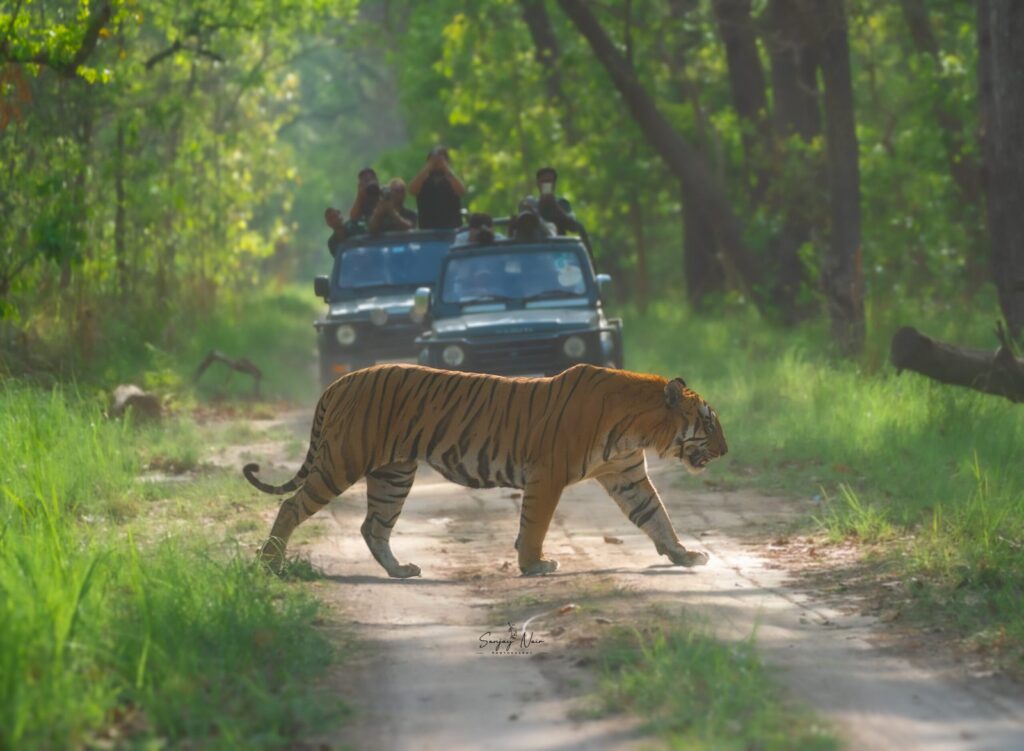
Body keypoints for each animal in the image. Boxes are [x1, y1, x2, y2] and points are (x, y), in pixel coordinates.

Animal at [244, 363, 727, 577]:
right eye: (708, 422)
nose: (726, 451)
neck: (638, 428)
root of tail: (341, 380)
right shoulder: (548, 474)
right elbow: (535, 524)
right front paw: (534, 565)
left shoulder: (627, 477)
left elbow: (657, 517)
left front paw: (685, 555)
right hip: (344, 459)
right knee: (292, 505)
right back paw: (270, 562)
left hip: (393, 474)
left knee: (373, 526)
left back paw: (400, 570)